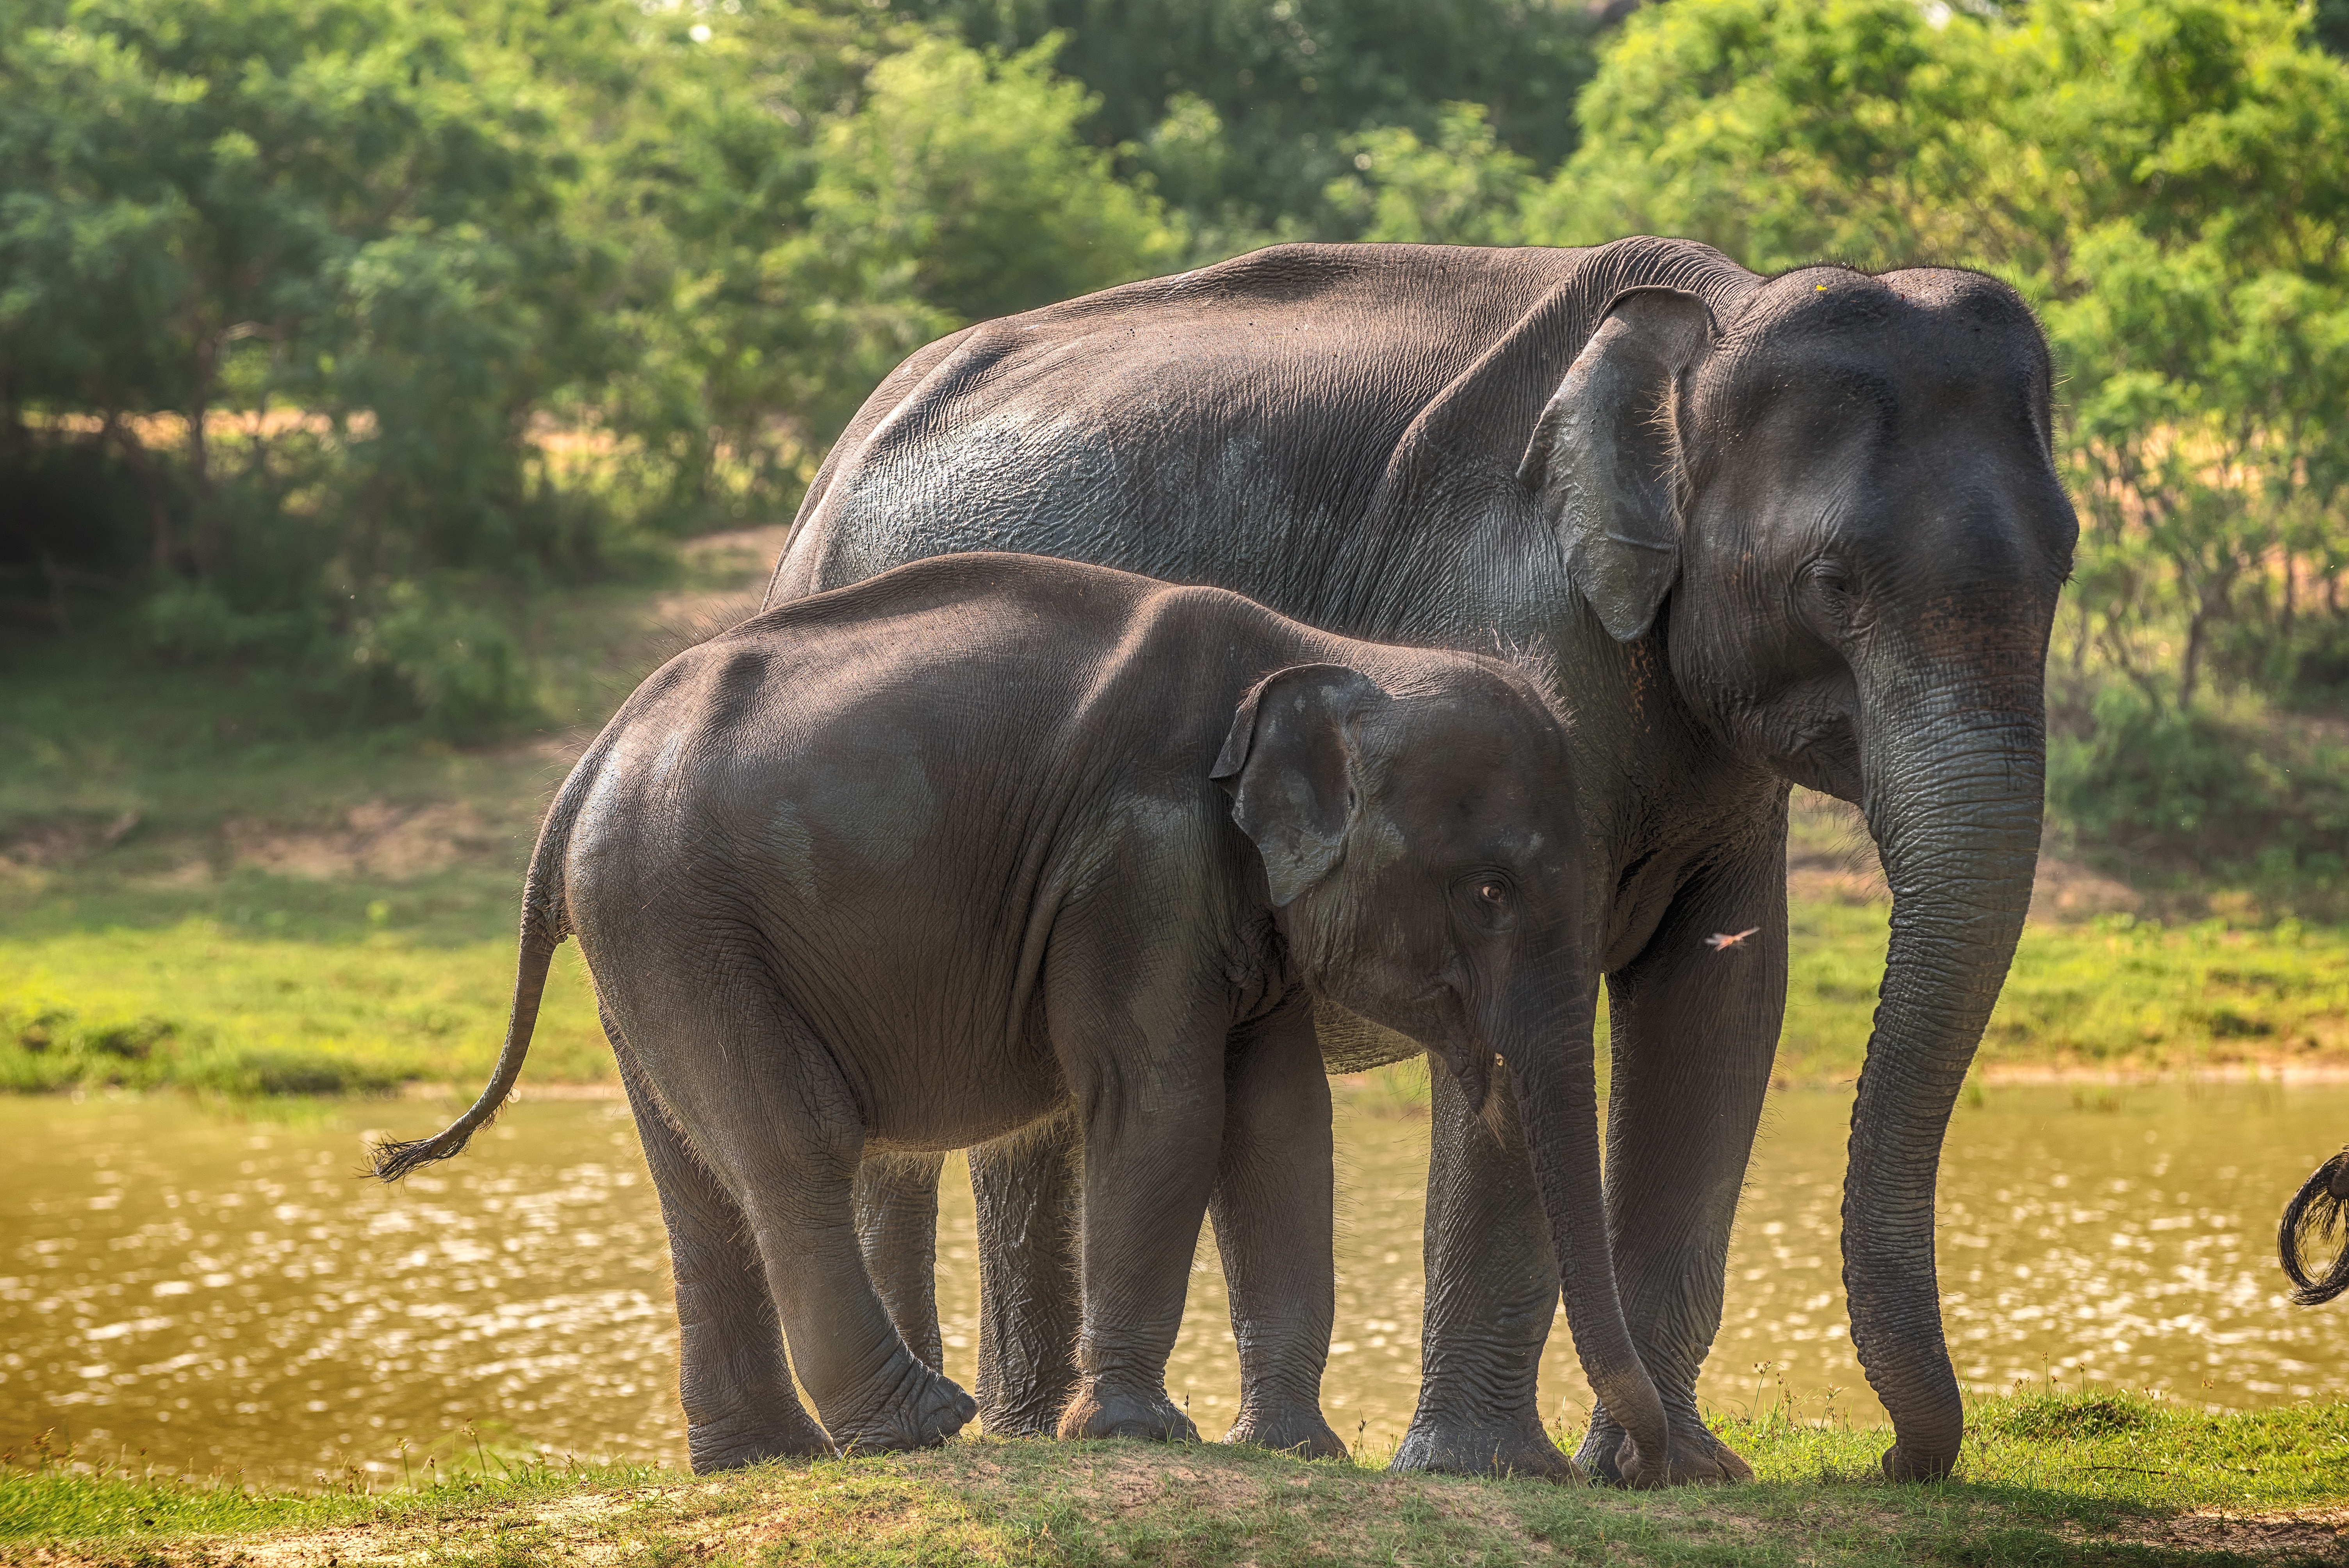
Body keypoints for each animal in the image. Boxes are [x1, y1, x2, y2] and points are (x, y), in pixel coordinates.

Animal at [371, 556, 1654, 1474]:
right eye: (1489, 891)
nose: (1666, 1462)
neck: (1330, 655)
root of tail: (584, 768)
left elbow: (1279, 1124)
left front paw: (1294, 1451)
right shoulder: (1137, 860)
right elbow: (1164, 1102)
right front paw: (1137, 1436)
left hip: (639, 936)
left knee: (698, 1177)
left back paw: (762, 1460)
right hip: (679, 913)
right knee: (792, 1143)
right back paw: (920, 1425)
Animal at [756, 232, 2076, 1483]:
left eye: (2063, 563)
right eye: (1832, 582)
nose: (1893, 1460)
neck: (1713, 316)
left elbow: (1721, 1004)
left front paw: (1677, 1474)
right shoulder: (1509, 620)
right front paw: (1496, 1470)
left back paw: (1037, 1433)